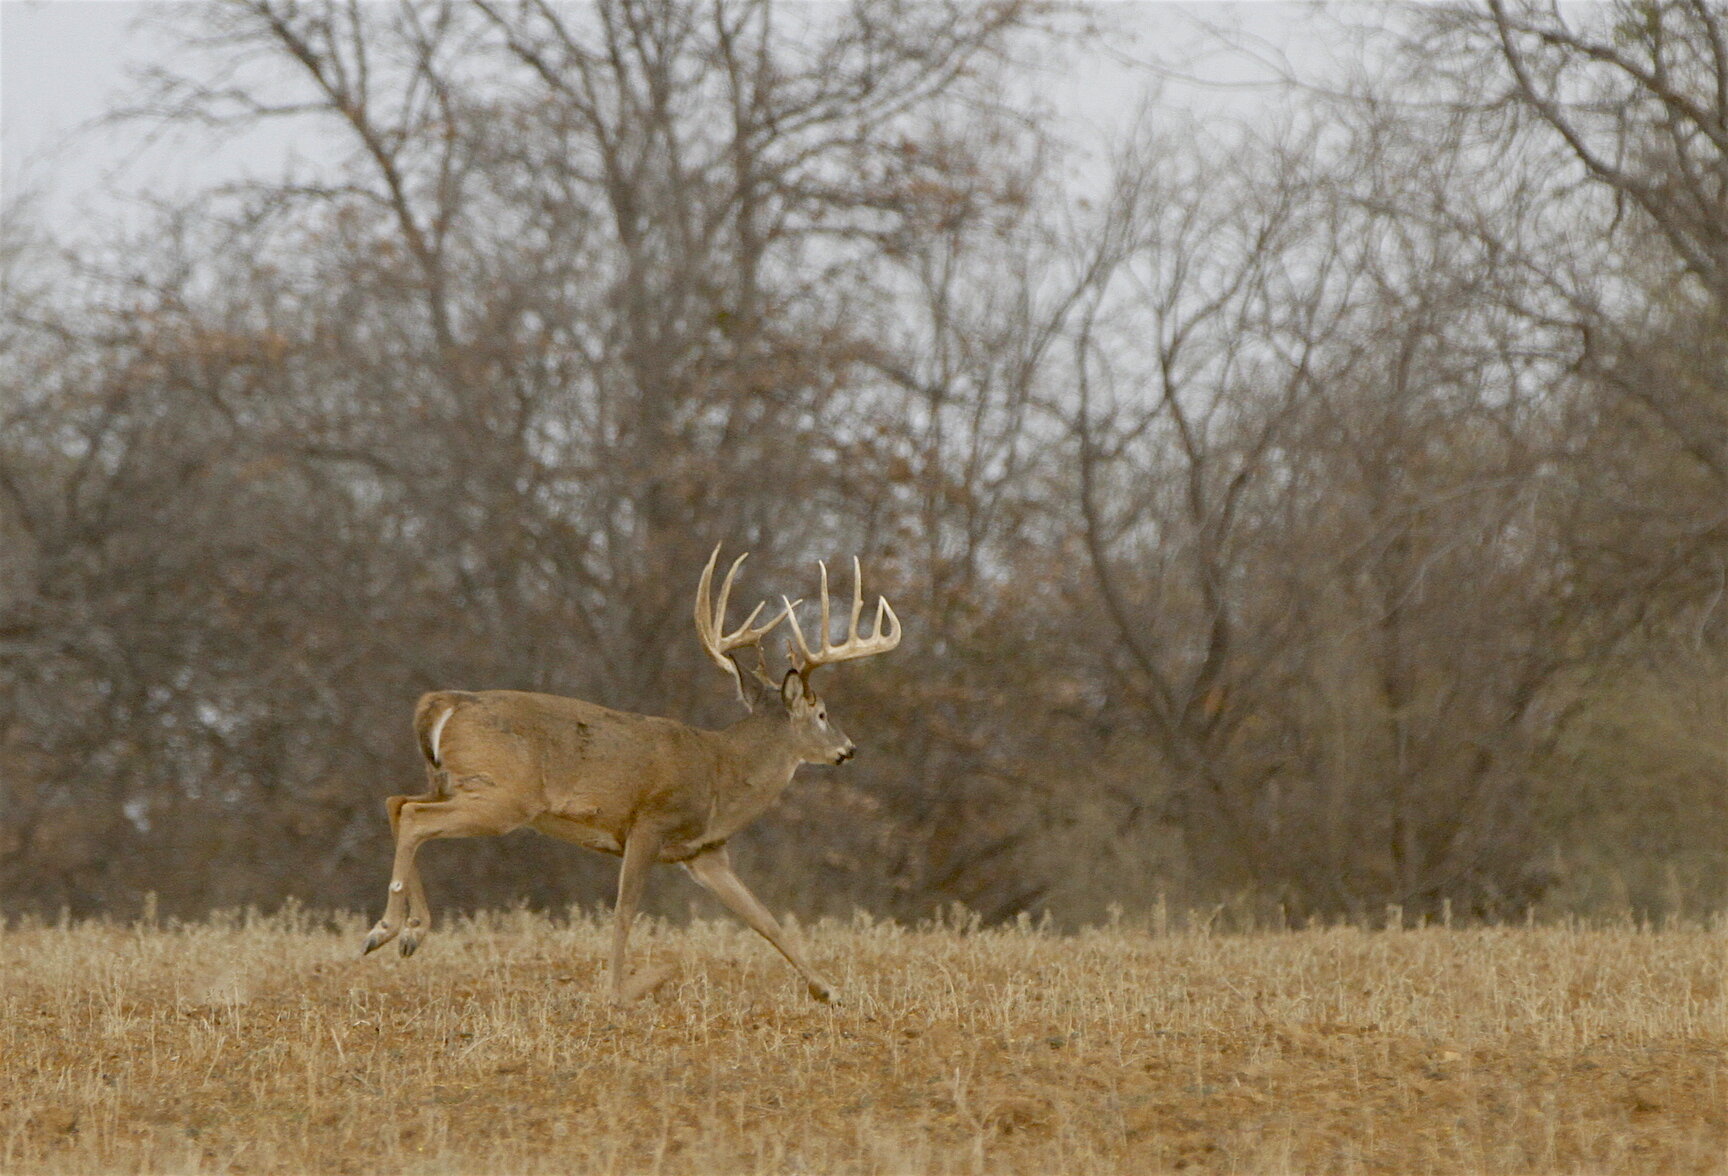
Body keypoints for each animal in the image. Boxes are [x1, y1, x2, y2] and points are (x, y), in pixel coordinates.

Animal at [360, 544, 902, 1003]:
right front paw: (621, 992)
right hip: (505, 797)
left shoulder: (704, 852)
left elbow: (765, 920)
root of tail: (442, 703)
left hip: (455, 781)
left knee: (398, 802)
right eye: (823, 713)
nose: (849, 750)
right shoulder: (648, 824)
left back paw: (409, 934)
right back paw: (386, 930)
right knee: (415, 818)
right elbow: (624, 913)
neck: (724, 775)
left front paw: (829, 991)